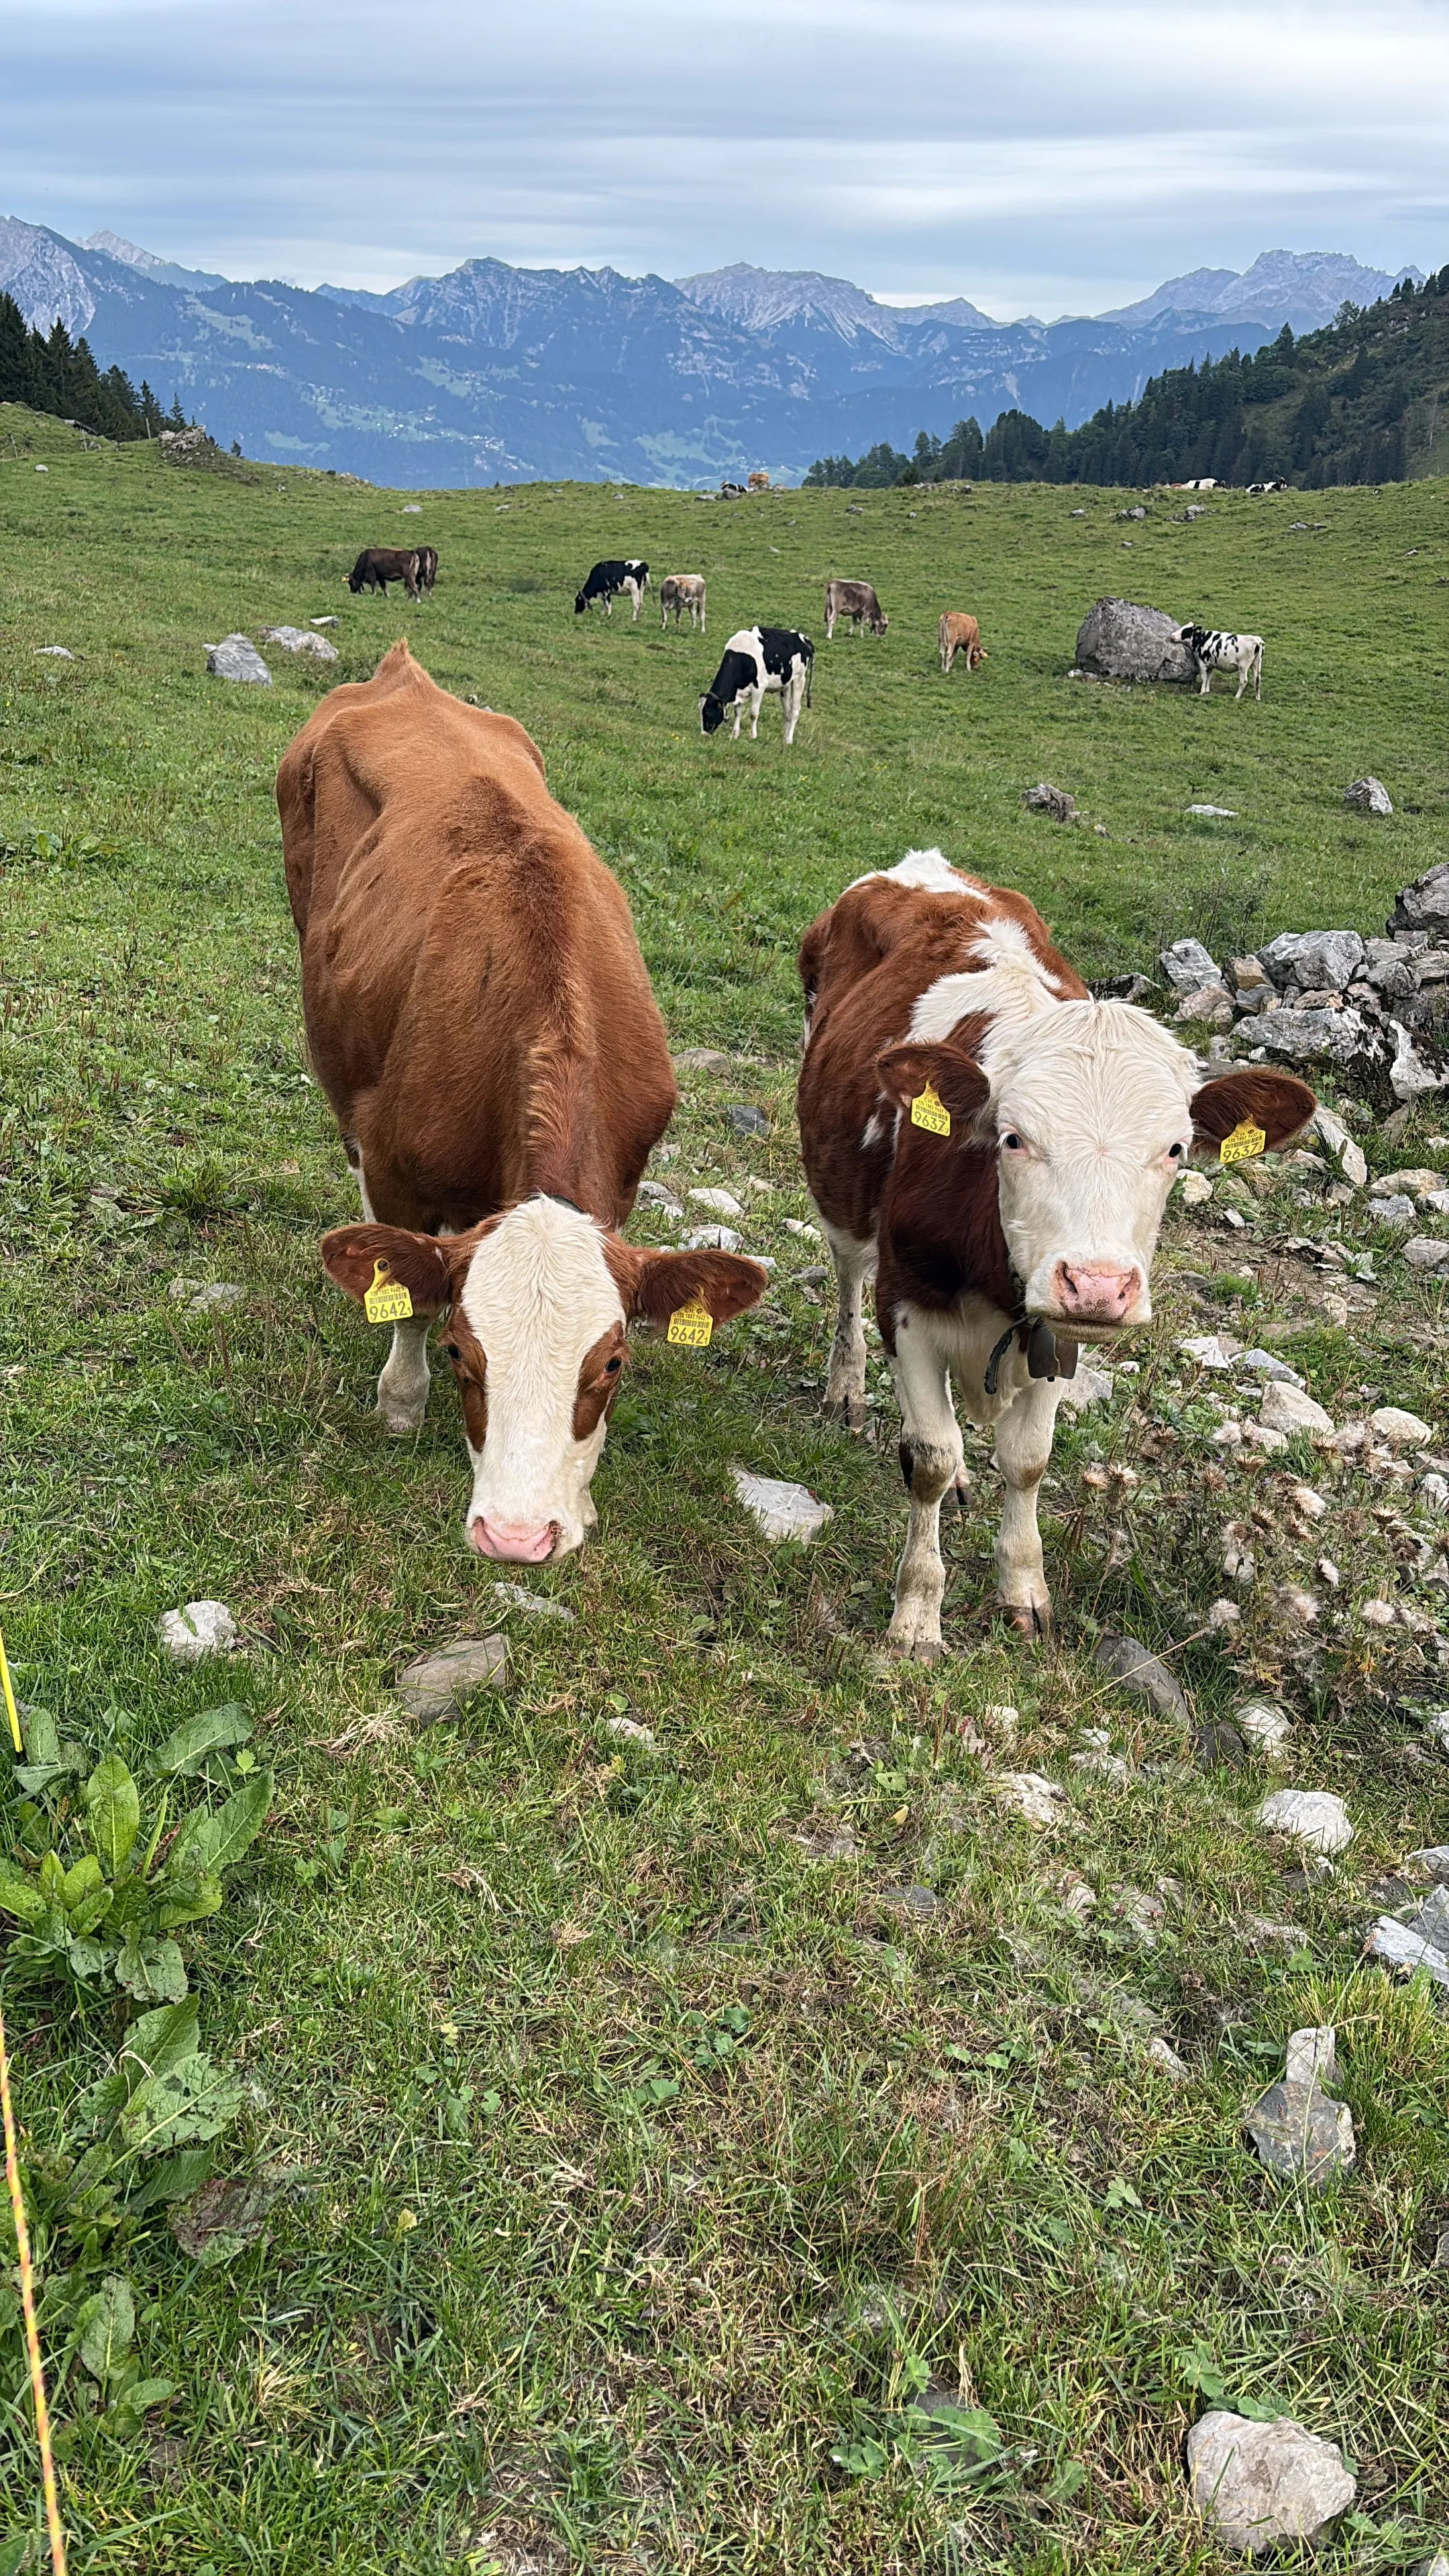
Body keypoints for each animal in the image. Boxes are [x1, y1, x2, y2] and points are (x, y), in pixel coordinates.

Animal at [277, 642, 765, 1565]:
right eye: (463, 1354)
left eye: (612, 1364)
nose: (515, 1537)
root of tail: (404, 672)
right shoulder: (396, 1166)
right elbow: (406, 1294)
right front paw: (401, 1402)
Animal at [699, 627, 813, 747]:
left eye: (707, 712)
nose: (703, 734)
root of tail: (804, 639)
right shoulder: (738, 691)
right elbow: (737, 712)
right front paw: (734, 734)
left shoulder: (759, 688)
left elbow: (753, 714)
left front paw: (753, 736)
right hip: (786, 684)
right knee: (787, 713)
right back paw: (784, 739)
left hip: (799, 678)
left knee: (795, 711)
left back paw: (789, 740)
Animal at [796, 849, 1313, 1659]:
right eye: (1013, 1138)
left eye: (1175, 1150)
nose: (1096, 1285)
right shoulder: (906, 1304)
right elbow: (931, 1459)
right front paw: (916, 1616)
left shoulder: (1057, 1338)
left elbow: (1028, 1460)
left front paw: (1023, 1590)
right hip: (841, 1187)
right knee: (849, 1274)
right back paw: (846, 1388)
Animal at [1176, 625, 1265, 700]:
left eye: (1186, 631)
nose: (1173, 635)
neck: (1202, 640)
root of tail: (1257, 640)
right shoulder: (1210, 665)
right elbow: (1209, 678)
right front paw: (1207, 690)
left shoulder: (1202, 664)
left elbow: (1204, 678)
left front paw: (1202, 692)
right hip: (1256, 665)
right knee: (1257, 680)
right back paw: (1258, 698)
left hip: (1243, 667)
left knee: (1244, 681)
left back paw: (1237, 696)